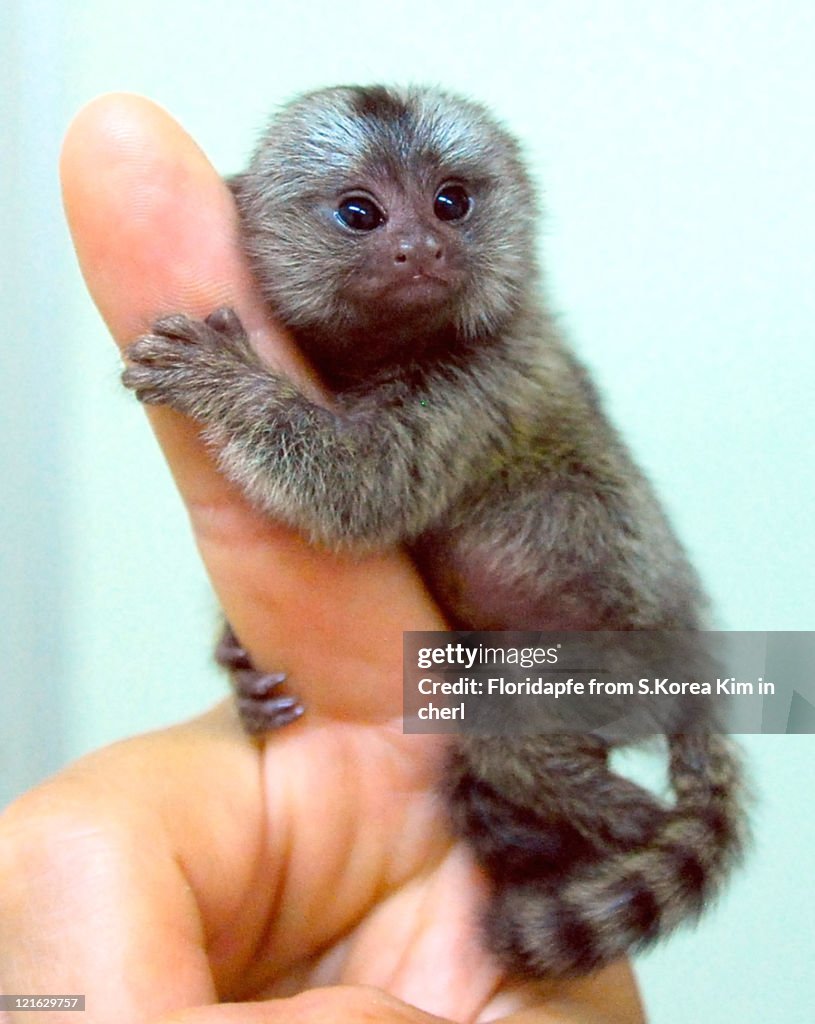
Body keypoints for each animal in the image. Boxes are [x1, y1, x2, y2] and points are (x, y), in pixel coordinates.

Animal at [122, 84, 748, 979]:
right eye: (360, 213)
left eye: (451, 203)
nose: (420, 248)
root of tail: (689, 652)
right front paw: (236, 662)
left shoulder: (474, 387)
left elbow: (355, 487)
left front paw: (223, 382)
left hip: (606, 663)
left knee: (512, 723)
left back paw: (606, 806)